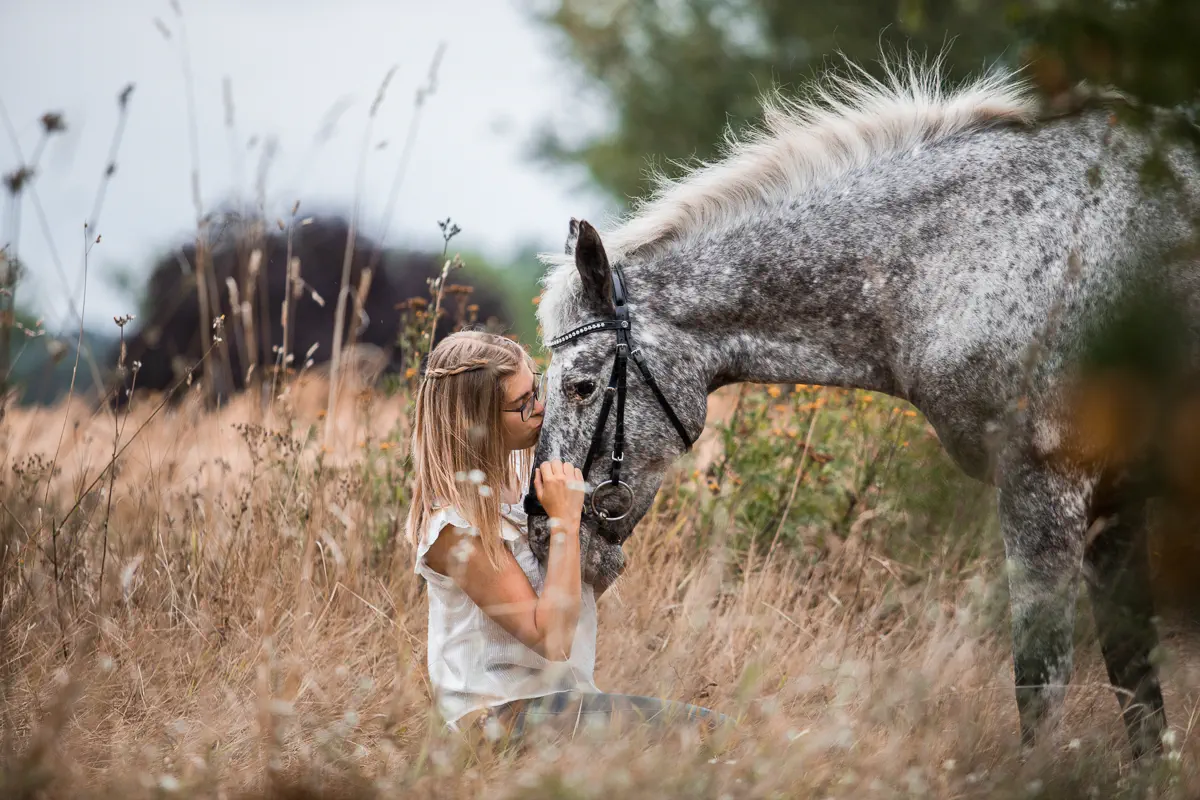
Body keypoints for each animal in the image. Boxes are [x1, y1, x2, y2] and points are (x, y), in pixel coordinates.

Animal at [524, 56, 1200, 761]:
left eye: (581, 386)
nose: (543, 534)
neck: (978, 252)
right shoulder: (1115, 506)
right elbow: (1137, 687)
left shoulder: (1045, 491)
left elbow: (1042, 683)